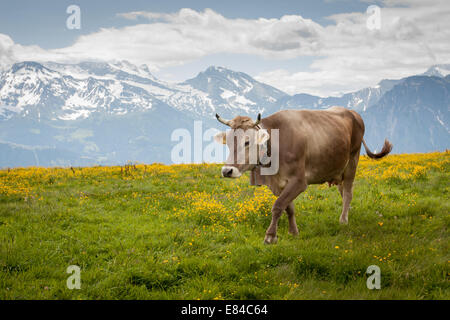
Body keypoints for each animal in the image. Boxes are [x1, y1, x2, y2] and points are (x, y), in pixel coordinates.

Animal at [213, 106, 392, 244]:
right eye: (228, 143)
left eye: (247, 142)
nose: (227, 171)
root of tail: (353, 113)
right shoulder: (279, 184)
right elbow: (288, 207)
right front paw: (293, 232)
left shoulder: (299, 181)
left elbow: (278, 205)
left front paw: (270, 236)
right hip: (338, 168)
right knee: (344, 192)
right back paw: (347, 213)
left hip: (352, 160)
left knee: (348, 192)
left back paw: (343, 220)